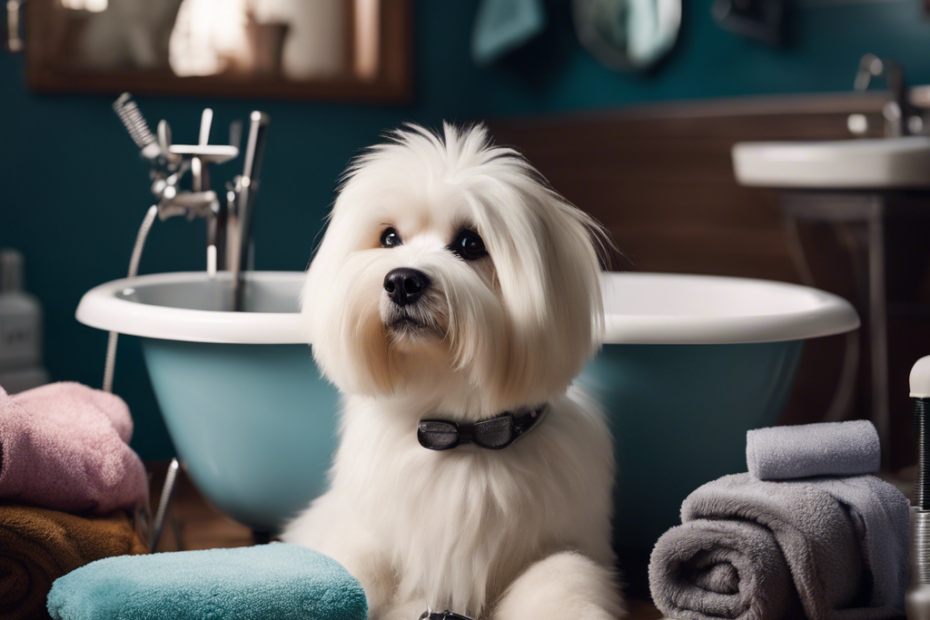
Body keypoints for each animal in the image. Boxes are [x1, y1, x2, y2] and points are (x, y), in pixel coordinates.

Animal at [280, 123, 620, 616]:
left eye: (470, 244)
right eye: (389, 238)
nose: (402, 281)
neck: (459, 433)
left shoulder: (565, 541)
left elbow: (562, 578)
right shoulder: (361, 529)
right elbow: (352, 567)